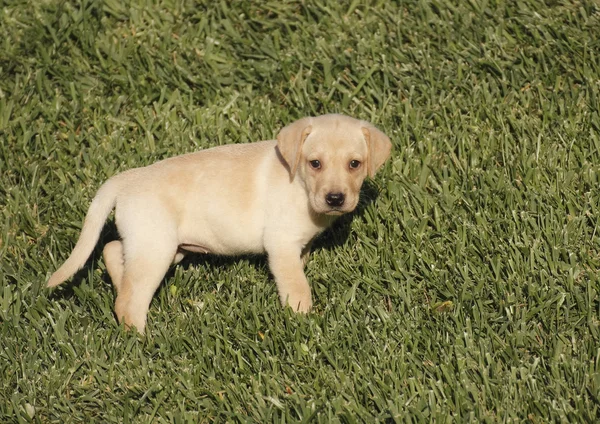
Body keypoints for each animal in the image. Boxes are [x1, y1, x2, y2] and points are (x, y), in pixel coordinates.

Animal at [48, 114, 394, 332]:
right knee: (129, 302)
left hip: (155, 245)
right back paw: (144, 342)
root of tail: (126, 178)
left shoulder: (300, 244)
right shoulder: (281, 245)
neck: (299, 183)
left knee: (112, 251)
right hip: (155, 250)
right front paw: (303, 320)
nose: (335, 198)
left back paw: (120, 285)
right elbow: (296, 285)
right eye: (315, 163)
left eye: (355, 164)